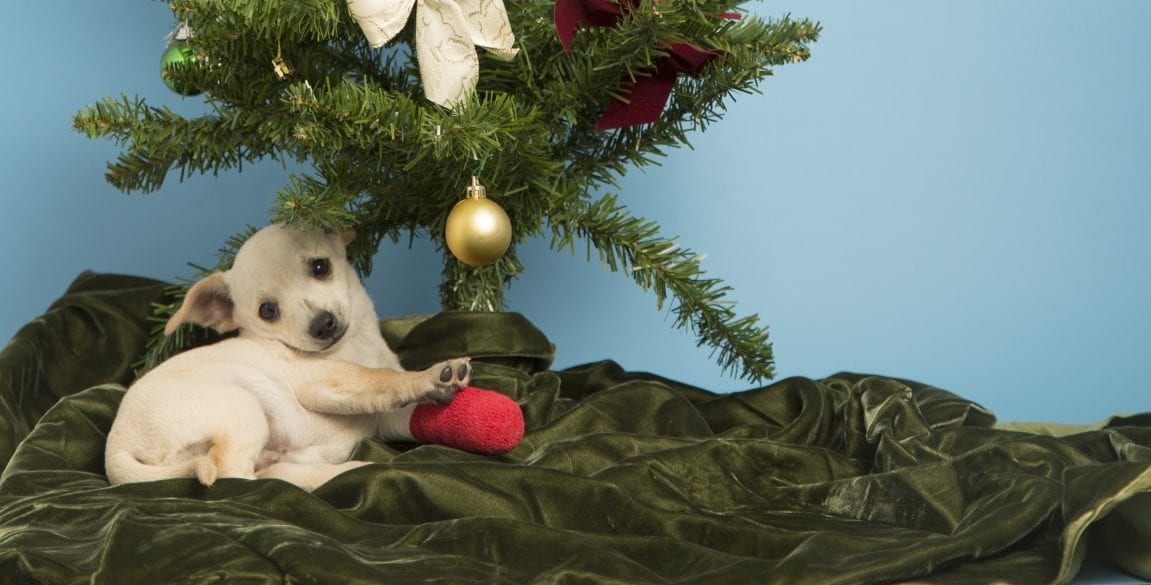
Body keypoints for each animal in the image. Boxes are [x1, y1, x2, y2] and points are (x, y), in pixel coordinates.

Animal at [104, 223, 467, 488]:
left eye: (321, 267)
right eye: (268, 311)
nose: (322, 324)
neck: (355, 345)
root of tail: (115, 448)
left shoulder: (384, 417)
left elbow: (399, 402)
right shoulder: (325, 382)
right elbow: (381, 378)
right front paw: (429, 377)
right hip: (244, 407)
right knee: (235, 475)